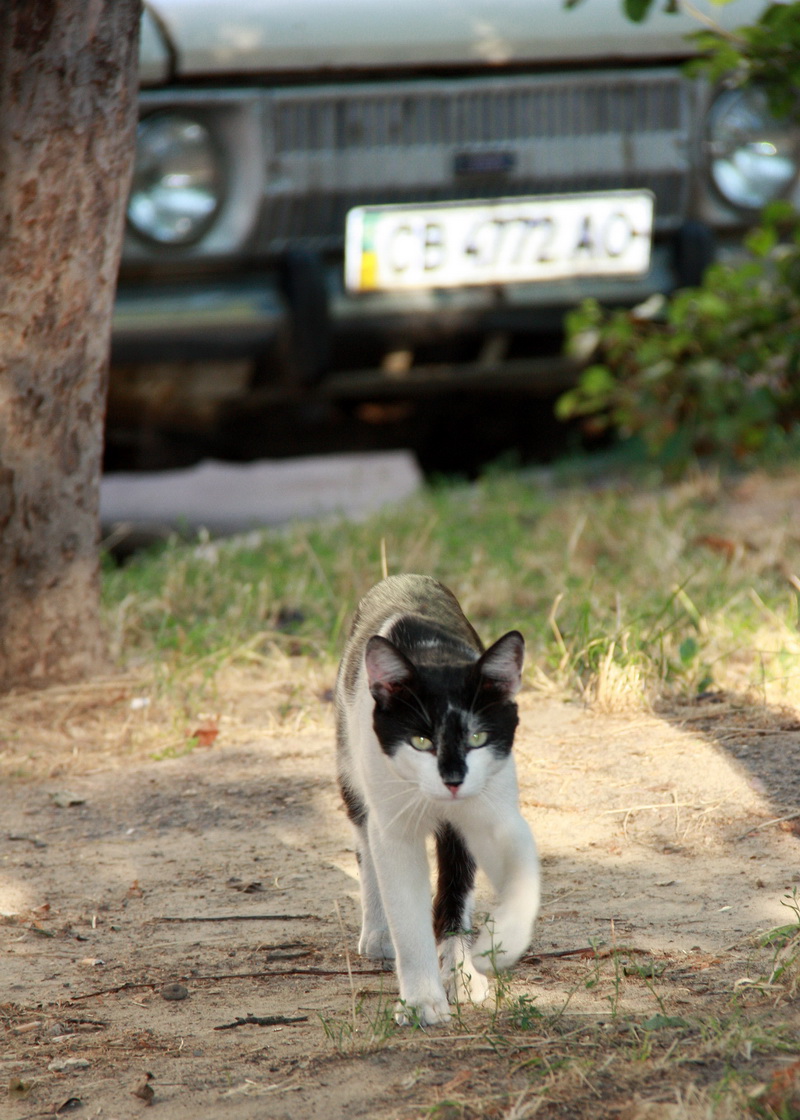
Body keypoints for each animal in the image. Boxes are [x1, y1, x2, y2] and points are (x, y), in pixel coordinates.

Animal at [335, 573, 540, 1026]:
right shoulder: (394, 825)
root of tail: (404, 577)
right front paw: (421, 999)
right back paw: (377, 932)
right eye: (421, 740)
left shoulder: (492, 808)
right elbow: (406, 911)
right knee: (364, 843)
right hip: (350, 763)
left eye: (477, 737)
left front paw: (475, 963)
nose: (453, 780)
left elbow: (494, 881)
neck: (434, 654)